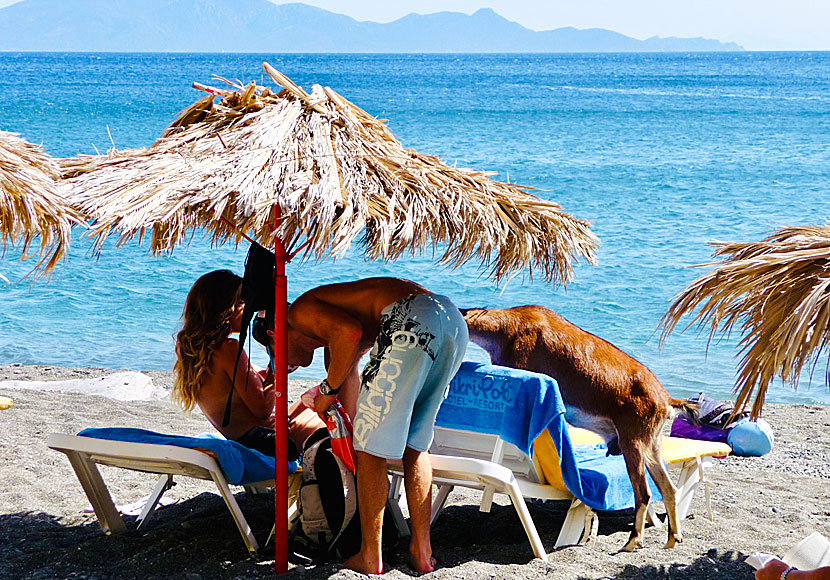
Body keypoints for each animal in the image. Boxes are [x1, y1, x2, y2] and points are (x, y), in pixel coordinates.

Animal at [464, 306, 700, 552]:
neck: (508, 327)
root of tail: (666, 399)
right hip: (652, 445)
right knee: (669, 489)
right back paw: (673, 538)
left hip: (632, 442)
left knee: (644, 493)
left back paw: (632, 541)